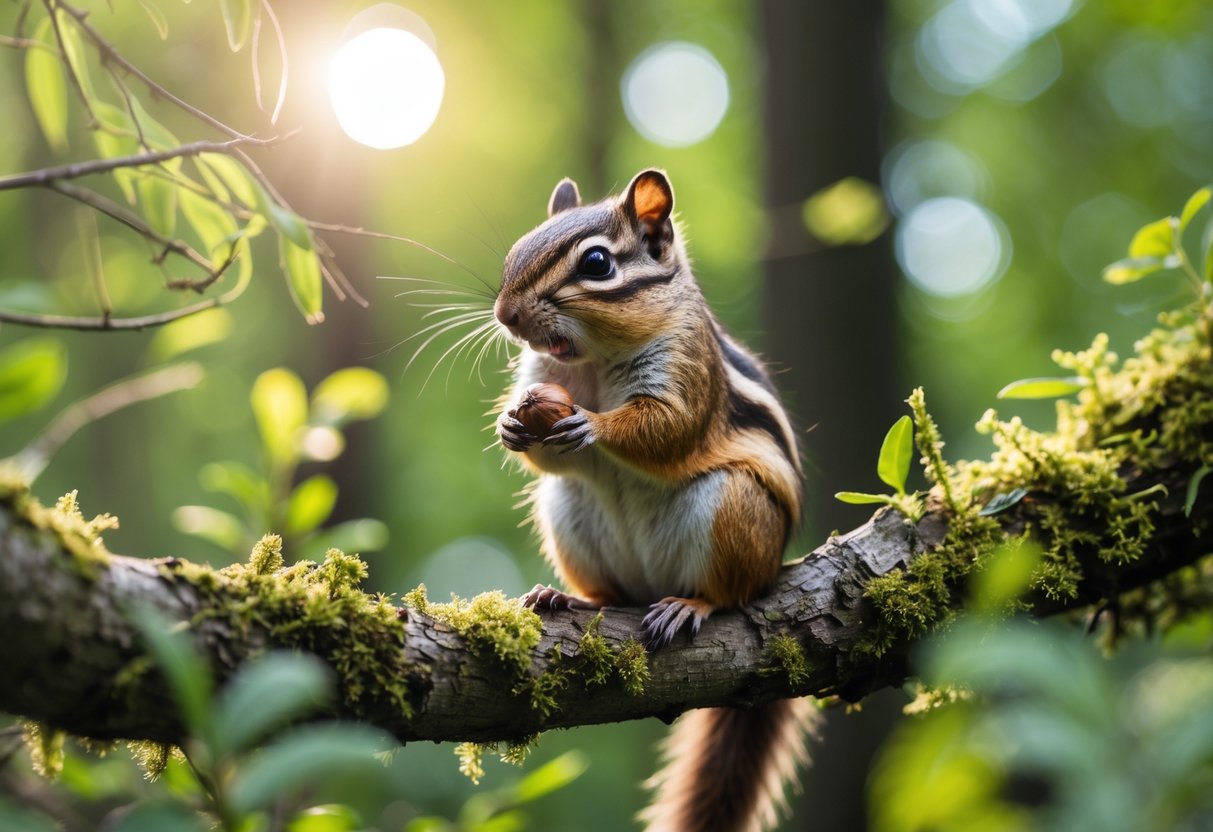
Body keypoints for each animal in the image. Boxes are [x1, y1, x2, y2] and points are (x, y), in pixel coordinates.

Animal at [494, 169, 816, 832]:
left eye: (596, 263)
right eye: (515, 249)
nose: (504, 314)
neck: (593, 362)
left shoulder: (685, 369)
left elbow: (668, 428)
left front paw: (594, 425)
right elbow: (547, 452)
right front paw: (512, 426)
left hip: (733, 510)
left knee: (729, 593)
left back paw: (689, 606)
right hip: (568, 515)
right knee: (610, 592)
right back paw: (565, 597)